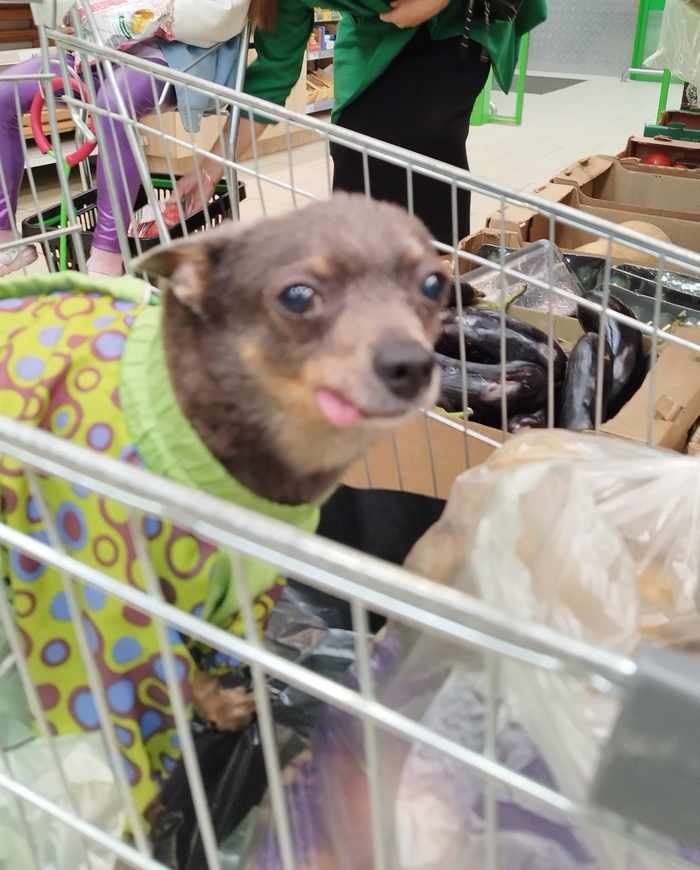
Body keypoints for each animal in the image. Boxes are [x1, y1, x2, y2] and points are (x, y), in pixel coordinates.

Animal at [0, 193, 449, 818]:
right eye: (297, 296)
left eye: (434, 284)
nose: (411, 364)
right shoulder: (104, 629)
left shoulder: (233, 598)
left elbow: (197, 666)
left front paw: (219, 709)